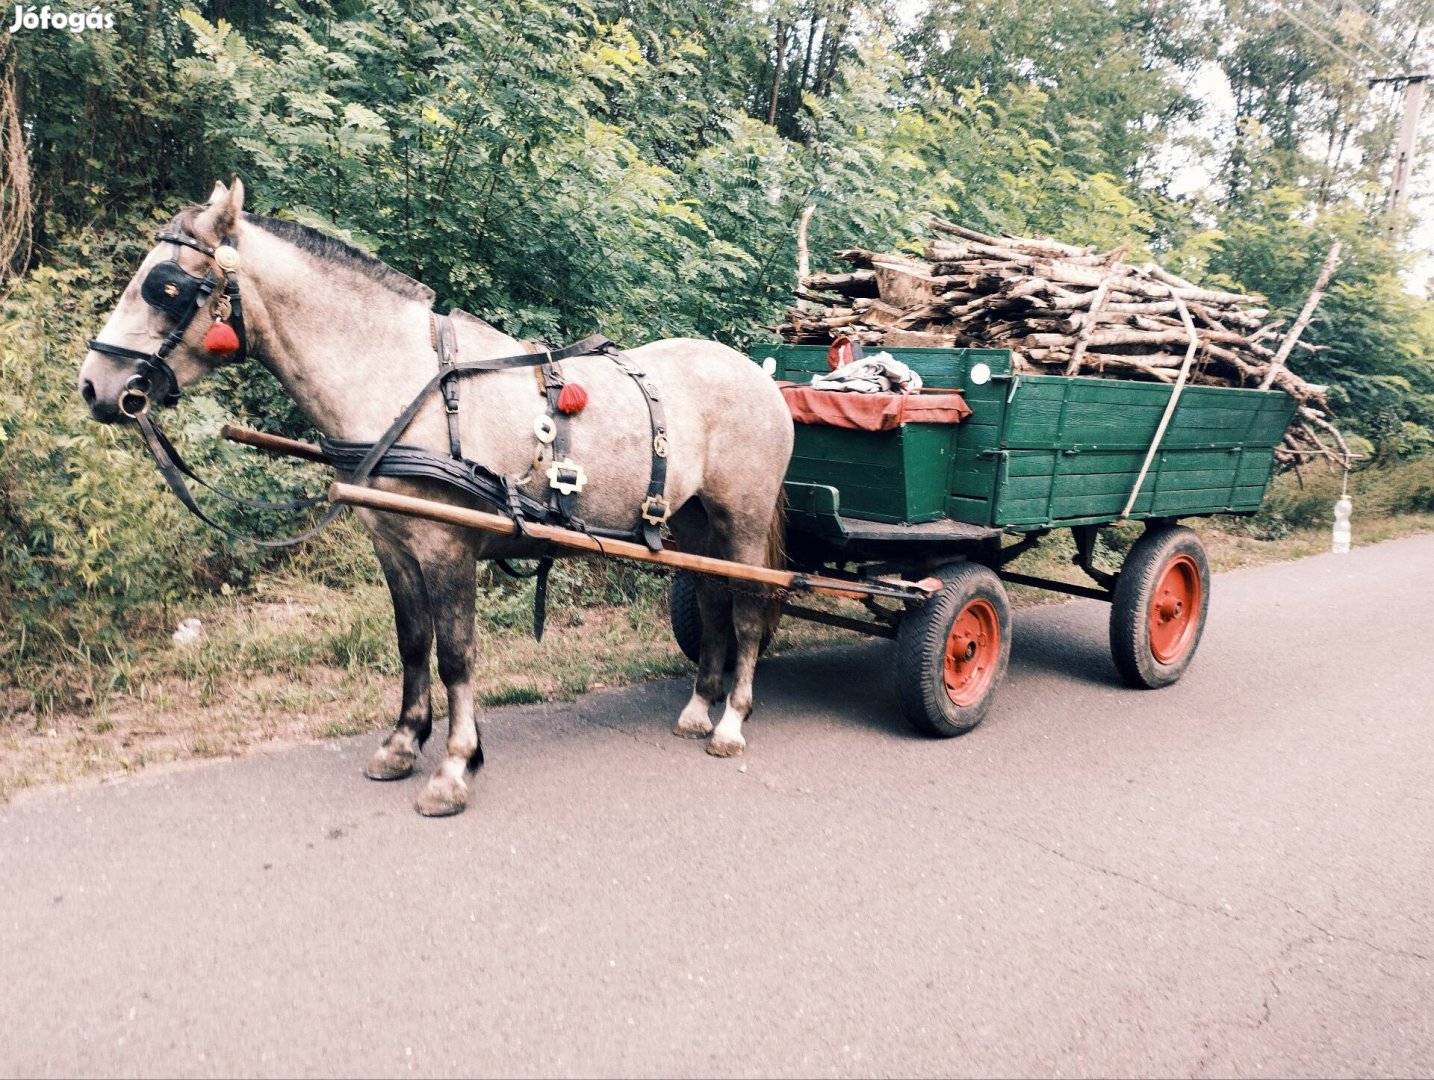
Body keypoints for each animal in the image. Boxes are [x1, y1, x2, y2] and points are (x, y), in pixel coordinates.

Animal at [79, 179, 797, 814]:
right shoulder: (394, 544)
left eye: (165, 287)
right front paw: (403, 744)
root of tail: (760, 375)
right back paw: (699, 708)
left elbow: (455, 653)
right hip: (696, 524)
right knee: (711, 598)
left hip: (742, 520)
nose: (93, 385)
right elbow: (411, 641)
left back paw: (731, 722)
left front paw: (454, 766)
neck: (404, 382)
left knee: (748, 609)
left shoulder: (446, 546)